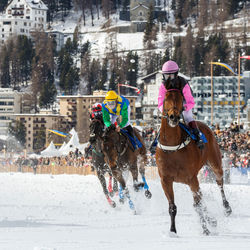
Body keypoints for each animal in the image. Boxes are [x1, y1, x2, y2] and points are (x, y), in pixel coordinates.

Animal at [156, 87, 232, 234]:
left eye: (181, 98)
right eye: (166, 98)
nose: (173, 117)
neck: (173, 146)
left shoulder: (191, 178)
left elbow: (198, 205)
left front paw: (205, 229)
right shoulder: (165, 180)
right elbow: (173, 207)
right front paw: (173, 231)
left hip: (215, 163)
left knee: (219, 182)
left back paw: (226, 208)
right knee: (201, 196)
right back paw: (212, 220)